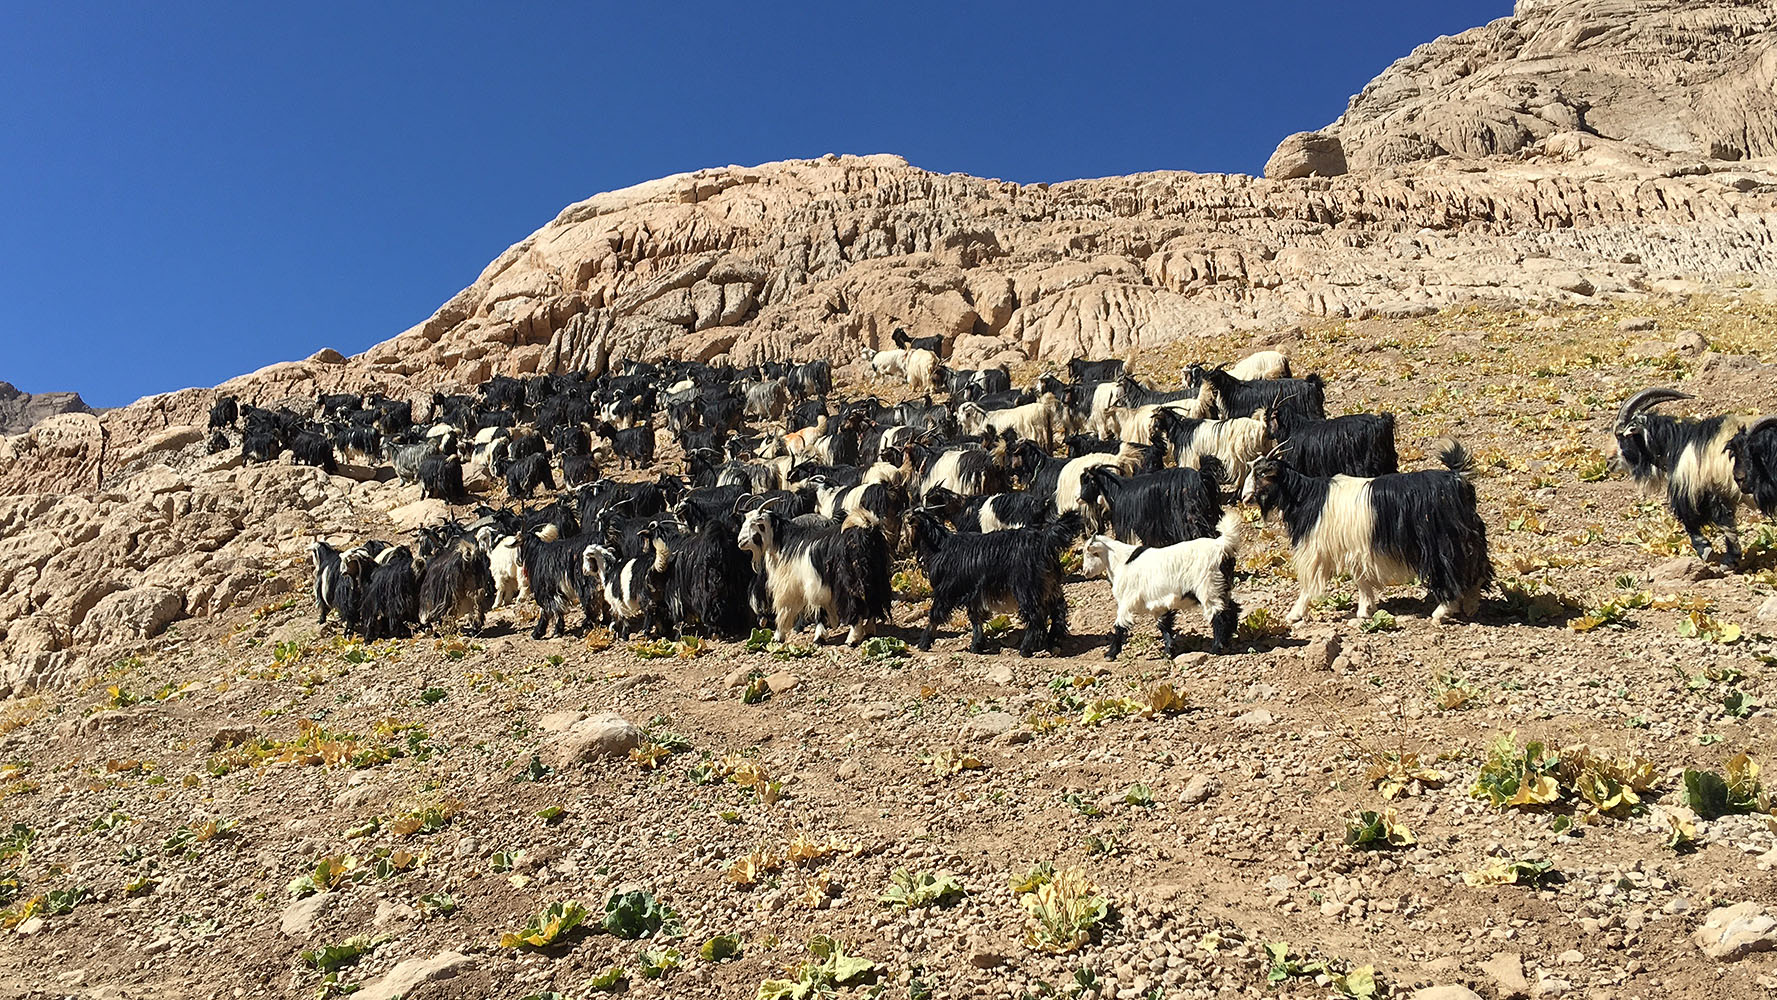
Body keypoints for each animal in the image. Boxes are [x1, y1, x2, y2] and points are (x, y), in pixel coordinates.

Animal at [1073, 511, 1243, 660]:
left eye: (1089, 553)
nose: (1086, 572)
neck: (1121, 560)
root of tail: (1221, 545)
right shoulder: (1158, 603)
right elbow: (1164, 625)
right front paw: (1169, 651)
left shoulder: (1127, 601)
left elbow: (1120, 625)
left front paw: (1110, 654)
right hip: (1222, 586)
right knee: (1232, 609)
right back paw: (1229, 637)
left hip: (1208, 586)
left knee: (1219, 614)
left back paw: (1217, 647)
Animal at [1243, 442, 1492, 621]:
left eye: (1261, 474)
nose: (1244, 498)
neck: (1307, 498)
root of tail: (1458, 480)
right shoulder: (1352, 549)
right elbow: (1361, 579)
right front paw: (1367, 608)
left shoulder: (1322, 550)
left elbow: (1315, 583)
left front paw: (1295, 614)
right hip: (1469, 538)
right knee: (1477, 569)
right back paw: (1471, 606)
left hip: (1441, 543)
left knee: (1452, 571)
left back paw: (1442, 611)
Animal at [1613, 387, 1748, 568]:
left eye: (1621, 436)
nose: (1611, 463)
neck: (1680, 443)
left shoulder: (1699, 488)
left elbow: (1702, 520)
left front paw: (1712, 552)